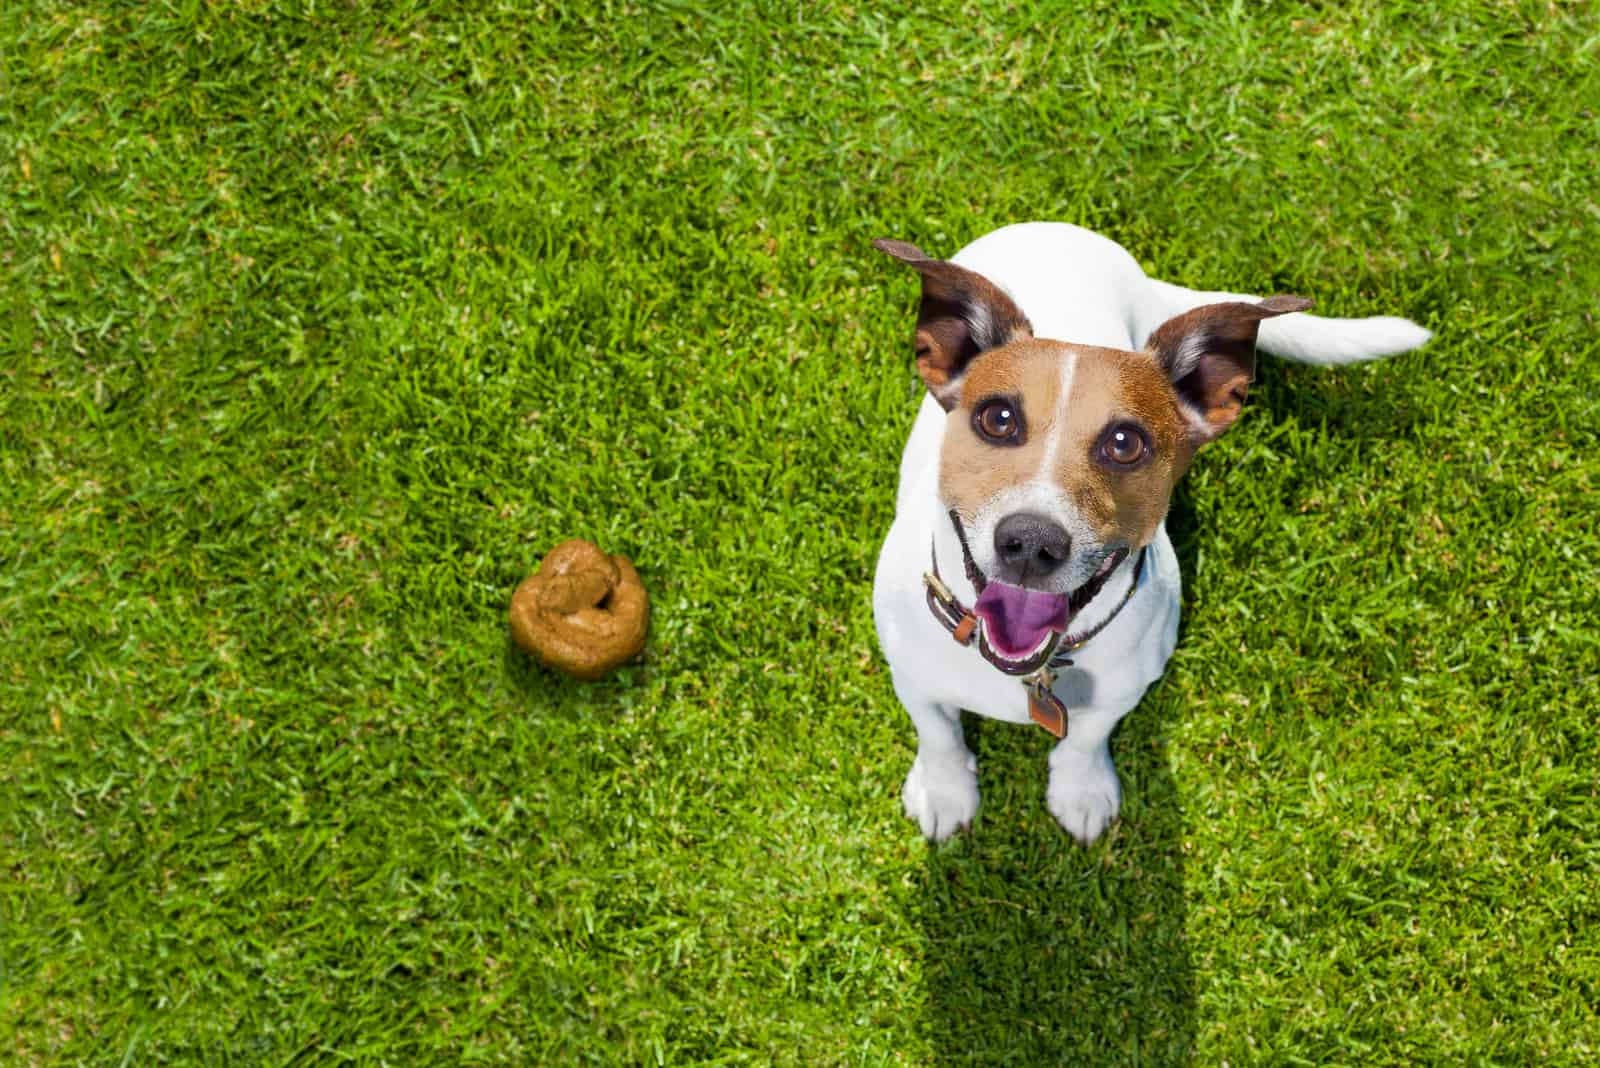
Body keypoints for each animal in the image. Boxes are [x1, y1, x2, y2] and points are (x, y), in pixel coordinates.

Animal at [870, 223, 1433, 844]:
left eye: (1125, 443)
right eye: (998, 418)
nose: (1031, 543)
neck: (1035, 669)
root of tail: (1061, 231)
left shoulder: (1123, 690)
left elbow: (1088, 738)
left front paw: (1081, 788)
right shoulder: (910, 674)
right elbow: (937, 730)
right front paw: (945, 790)